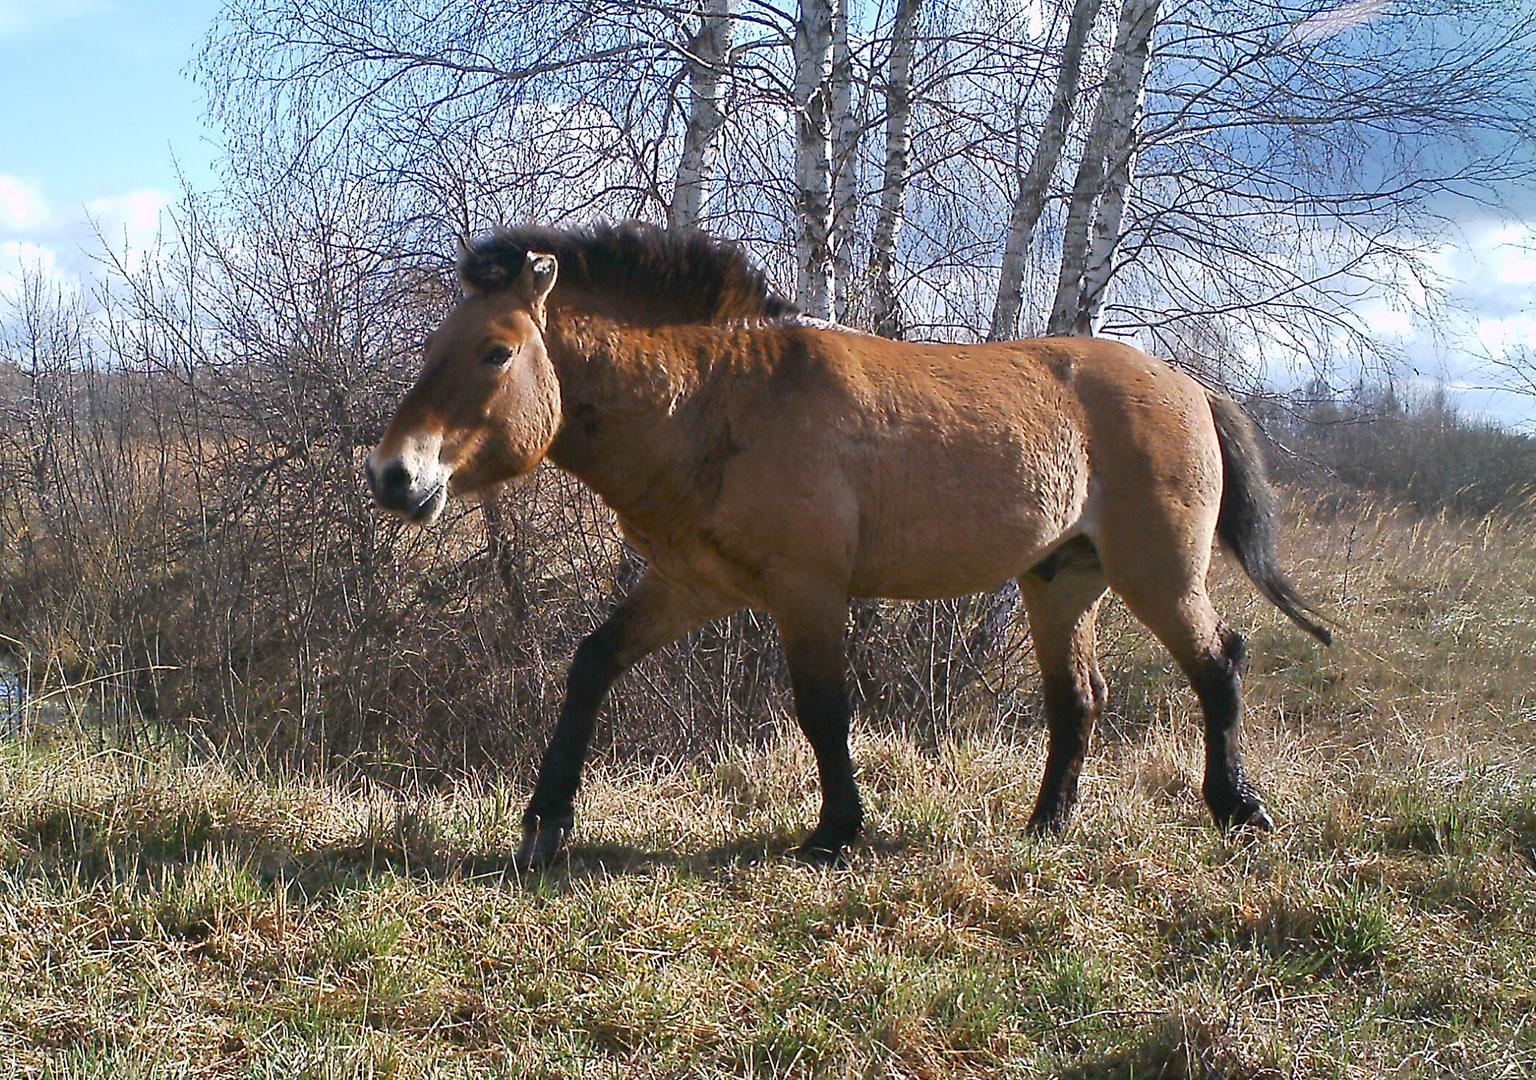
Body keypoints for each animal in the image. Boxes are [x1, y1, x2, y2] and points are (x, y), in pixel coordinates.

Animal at [365, 225, 1327, 872]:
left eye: (496, 352)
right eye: (435, 346)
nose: (394, 476)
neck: (721, 398)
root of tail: (1190, 385)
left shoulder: (808, 591)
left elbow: (823, 708)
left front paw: (834, 830)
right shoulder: (693, 585)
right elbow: (592, 665)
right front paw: (545, 824)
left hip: (1156, 573)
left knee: (1219, 662)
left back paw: (1237, 807)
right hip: (1060, 582)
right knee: (1078, 700)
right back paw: (1047, 825)